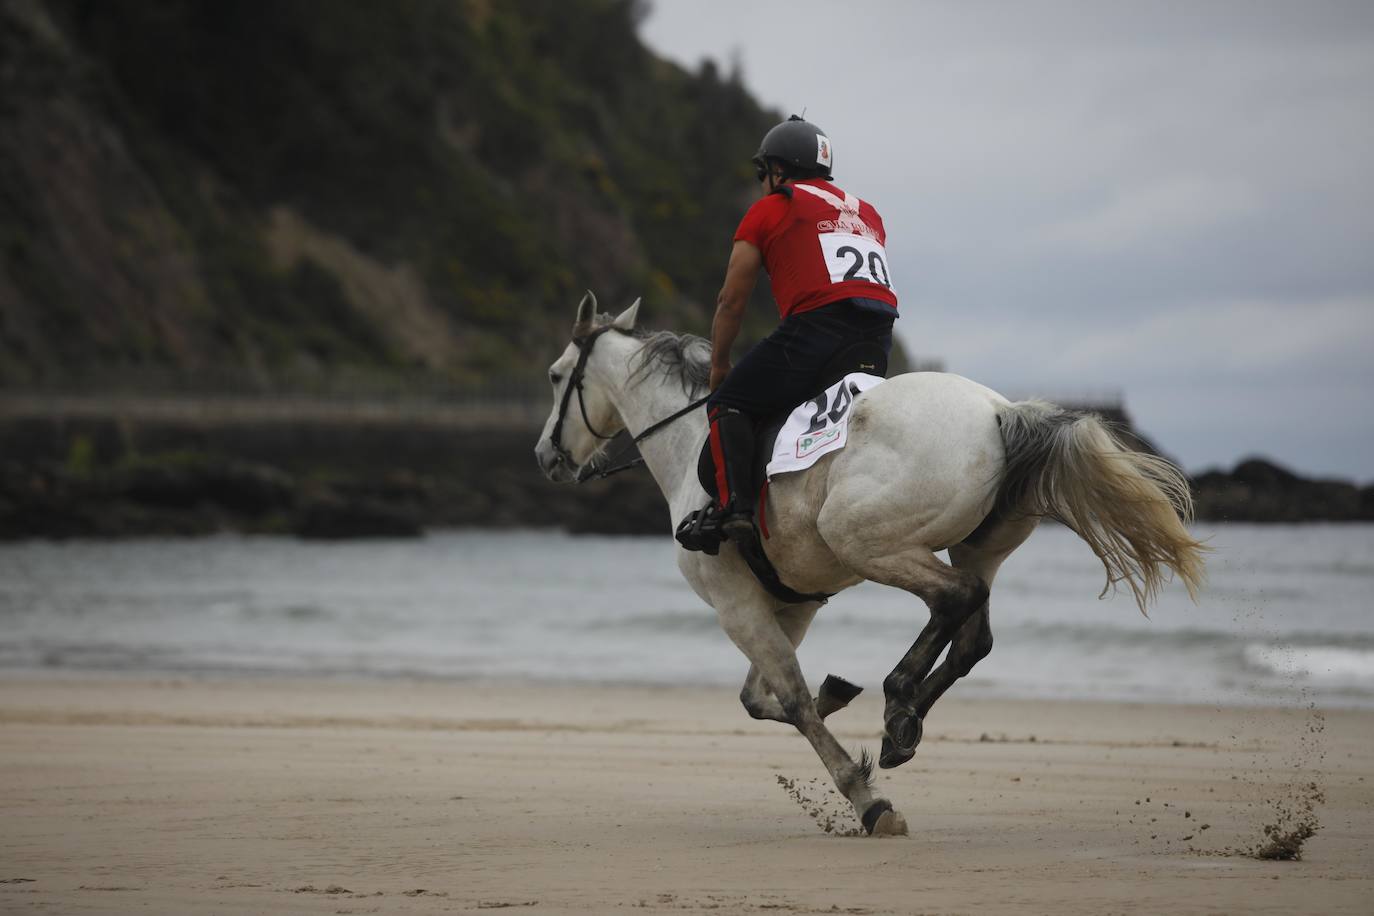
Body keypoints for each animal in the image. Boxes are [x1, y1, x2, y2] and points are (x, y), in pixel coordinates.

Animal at [535, 295, 1203, 840]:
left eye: (557, 376)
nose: (545, 456)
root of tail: (999, 412)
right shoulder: (791, 605)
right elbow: (760, 698)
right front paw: (838, 696)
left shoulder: (737, 606)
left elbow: (792, 702)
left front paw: (866, 798)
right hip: (974, 548)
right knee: (973, 634)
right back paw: (902, 722)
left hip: (867, 541)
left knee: (953, 600)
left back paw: (899, 699)